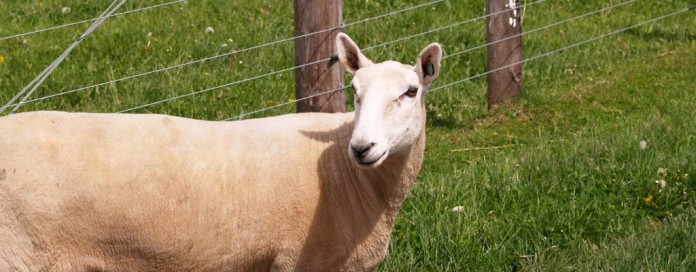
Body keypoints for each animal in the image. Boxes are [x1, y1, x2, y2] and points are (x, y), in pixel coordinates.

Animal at [0, 34, 444, 272]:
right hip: (16, 254)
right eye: (354, 92)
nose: (362, 146)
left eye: (411, 91)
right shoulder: (304, 260)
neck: (347, 178)